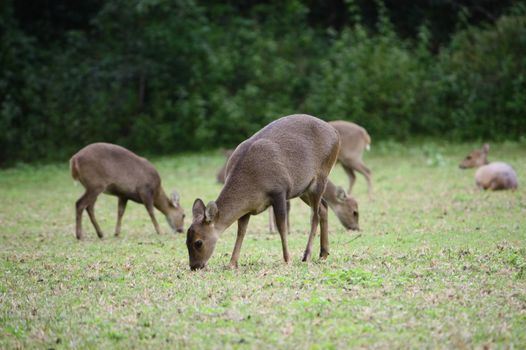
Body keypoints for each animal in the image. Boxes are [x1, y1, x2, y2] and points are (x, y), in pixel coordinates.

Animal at [187, 113, 342, 270]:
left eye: (198, 242)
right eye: (186, 241)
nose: (194, 266)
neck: (253, 185)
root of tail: (335, 133)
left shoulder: (279, 191)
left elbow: (281, 227)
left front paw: (288, 260)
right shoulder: (247, 208)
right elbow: (241, 231)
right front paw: (232, 263)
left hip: (321, 176)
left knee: (314, 215)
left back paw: (307, 255)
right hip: (303, 189)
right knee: (324, 207)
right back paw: (323, 253)